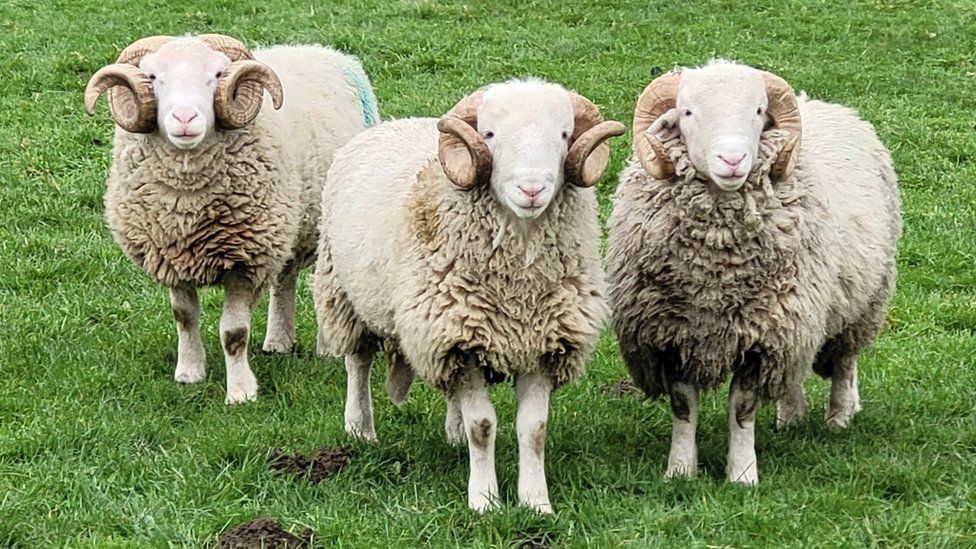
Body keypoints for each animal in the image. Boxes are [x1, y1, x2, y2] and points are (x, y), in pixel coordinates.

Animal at [84, 35, 378, 402]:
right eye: (152, 77)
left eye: (218, 74)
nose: (185, 117)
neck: (188, 204)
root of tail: (317, 49)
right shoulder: (171, 256)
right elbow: (184, 318)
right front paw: (189, 372)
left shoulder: (245, 261)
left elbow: (234, 333)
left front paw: (240, 391)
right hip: (288, 224)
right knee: (284, 278)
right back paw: (278, 341)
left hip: (326, 225)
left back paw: (327, 348)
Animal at [316, 79, 624, 512]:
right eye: (490, 134)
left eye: (564, 135)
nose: (532, 189)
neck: (519, 289)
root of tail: (396, 121)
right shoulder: (458, 343)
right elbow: (483, 426)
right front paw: (485, 500)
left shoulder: (539, 343)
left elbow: (534, 429)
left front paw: (536, 502)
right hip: (344, 293)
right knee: (358, 362)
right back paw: (360, 427)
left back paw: (453, 432)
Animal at [608, 60, 900, 484]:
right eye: (687, 112)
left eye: (759, 111)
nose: (732, 160)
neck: (715, 268)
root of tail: (825, 104)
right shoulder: (671, 334)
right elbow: (683, 406)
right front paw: (680, 471)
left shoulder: (762, 334)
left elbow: (742, 408)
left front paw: (743, 475)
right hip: (800, 319)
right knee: (794, 372)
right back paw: (790, 418)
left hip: (865, 301)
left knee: (845, 362)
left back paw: (840, 416)